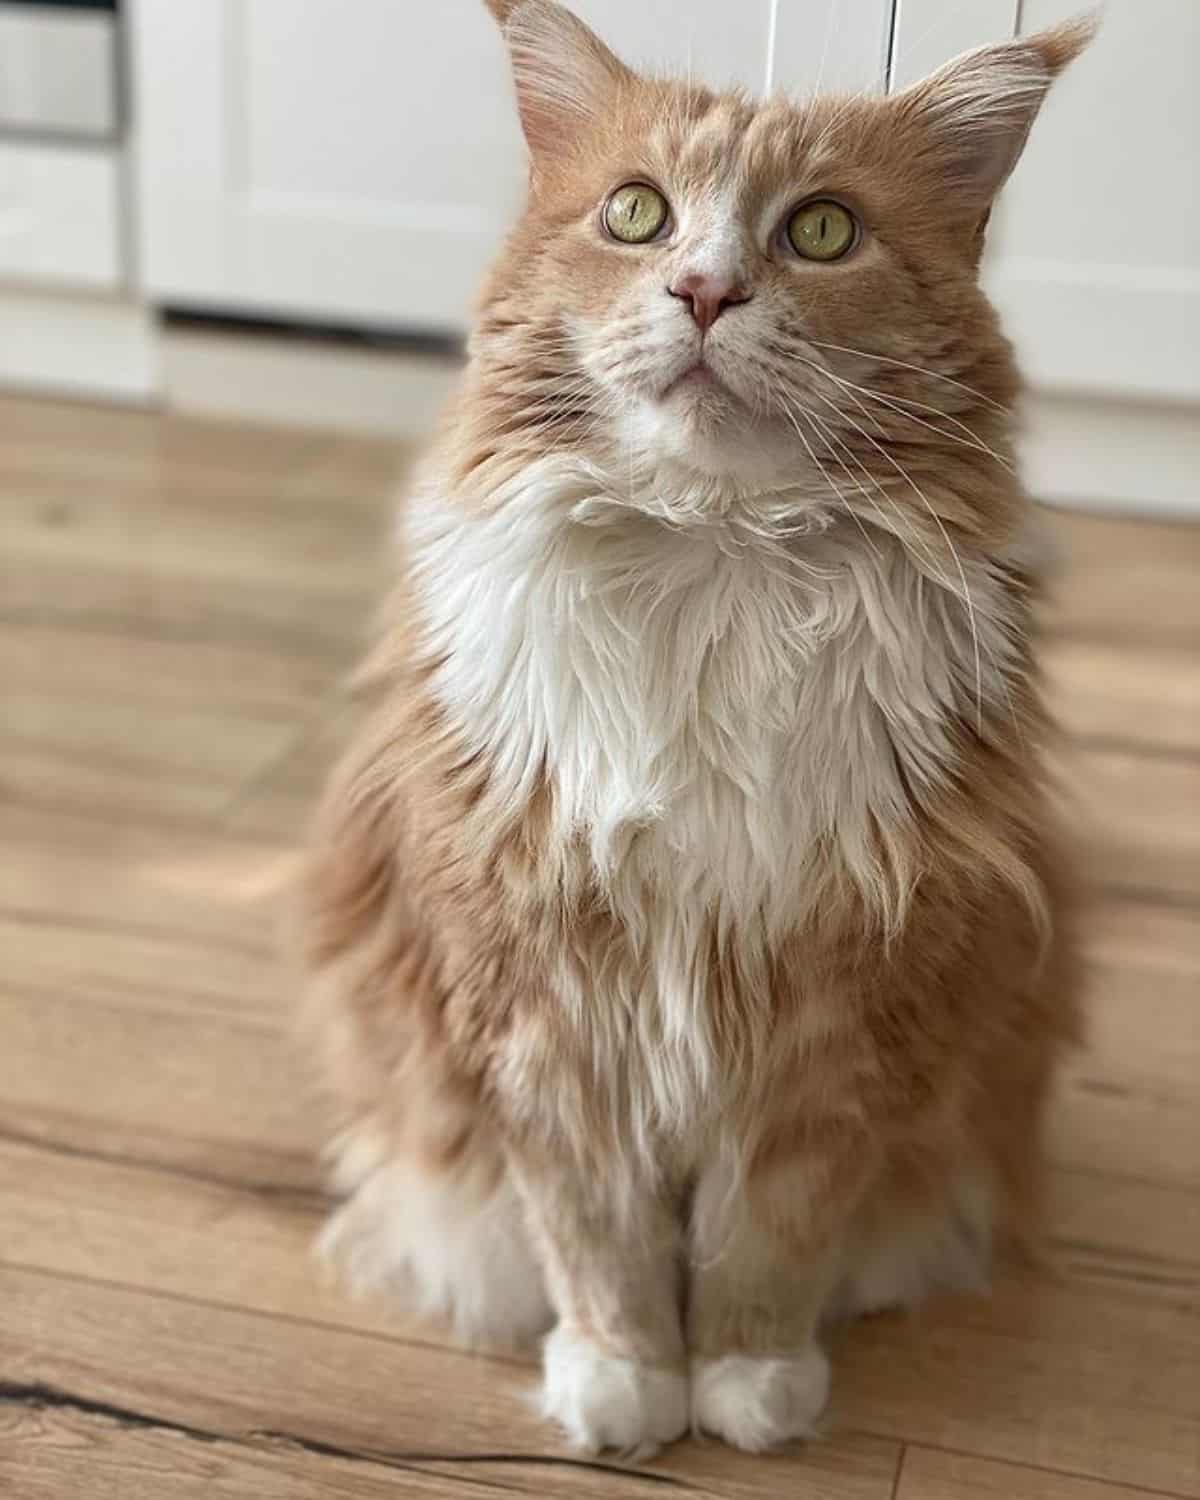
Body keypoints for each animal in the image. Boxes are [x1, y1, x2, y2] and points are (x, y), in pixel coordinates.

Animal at [297, 0, 1086, 1452]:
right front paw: (623, 1382)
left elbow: (771, 1235)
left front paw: (749, 1381)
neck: (713, 552)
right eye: (636, 214)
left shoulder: (846, 1005)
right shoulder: (543, 1002)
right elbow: (594, 1230)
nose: (706, 293)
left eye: (823, 231)